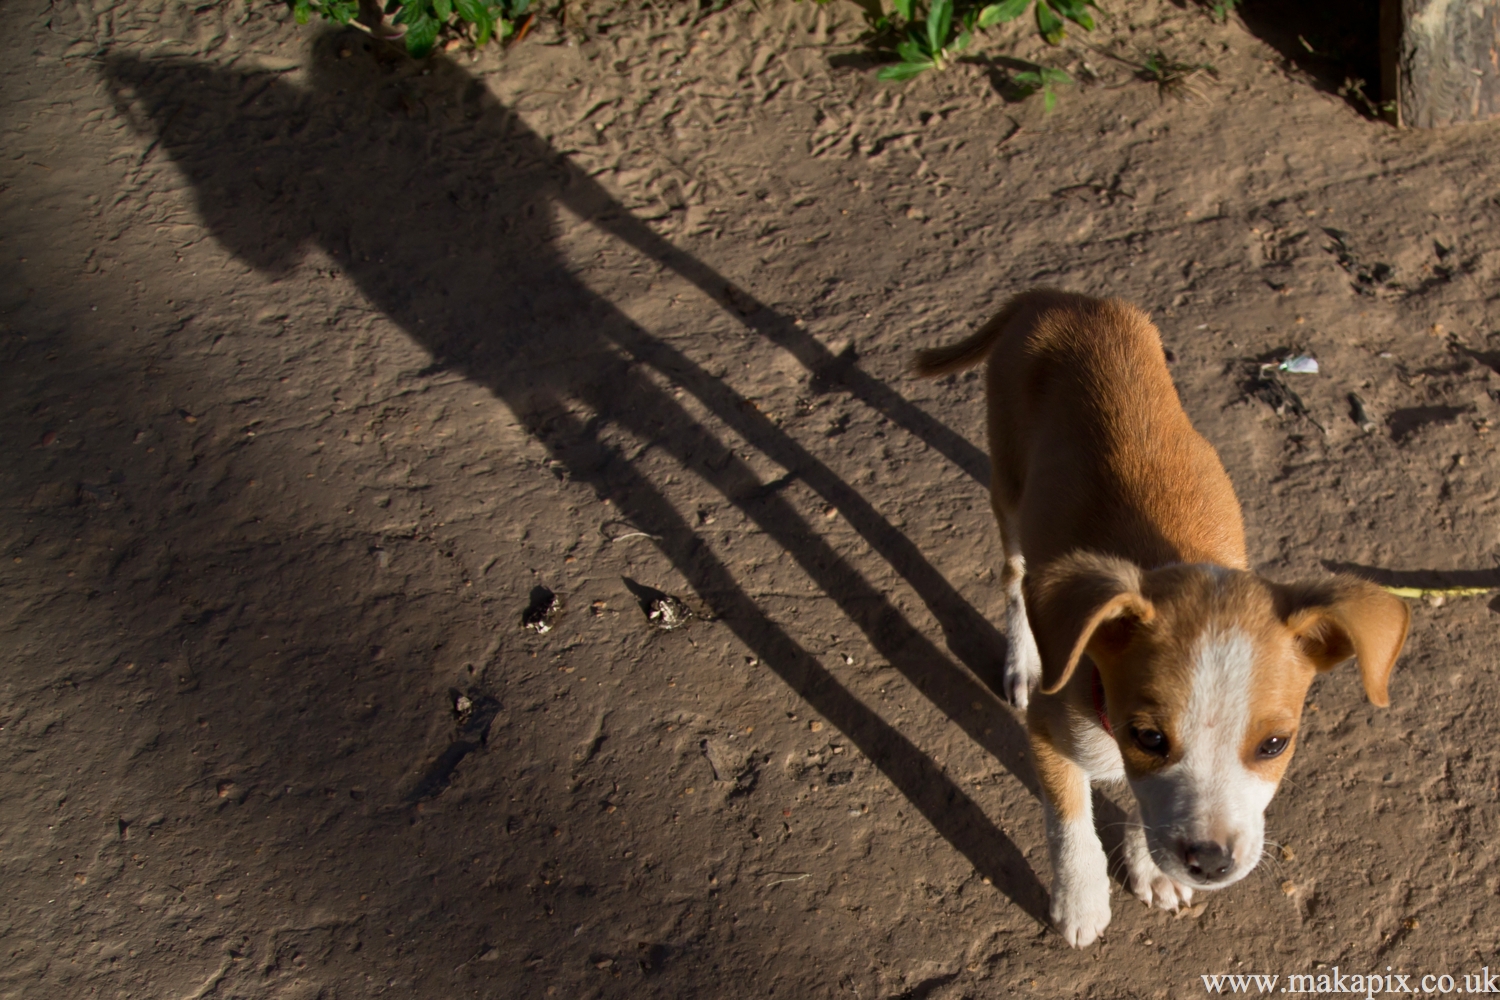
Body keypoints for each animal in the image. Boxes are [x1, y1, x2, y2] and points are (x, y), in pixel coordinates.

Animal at [906, 293, 1410, 953]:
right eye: (1149, 737)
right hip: (1009, 487)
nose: (1211, 861)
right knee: (1014, 576)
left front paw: (1147, 865)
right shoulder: (1048, 729)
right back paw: (1021, 659)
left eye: (1275, 744)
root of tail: (1060, 298)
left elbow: (1143, 802)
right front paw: (1081, 898)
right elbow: (1069, 816)